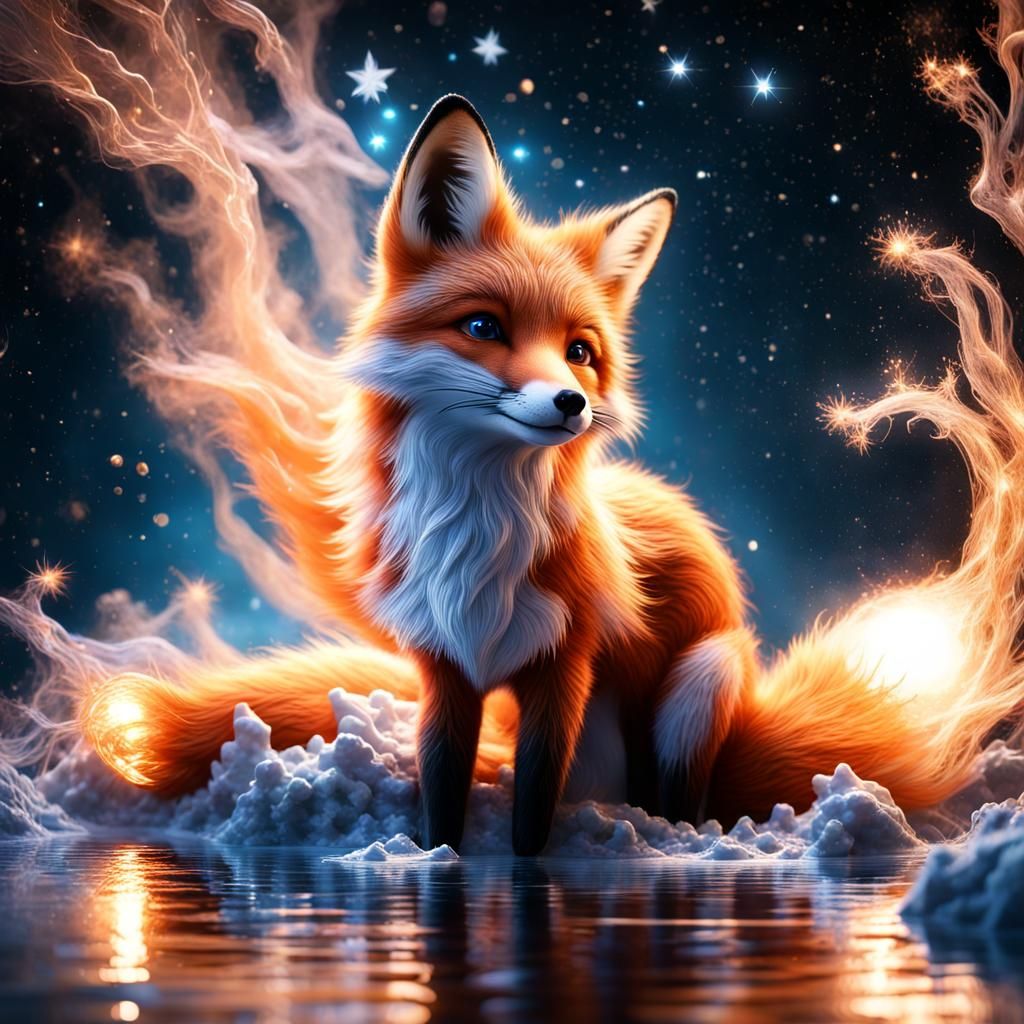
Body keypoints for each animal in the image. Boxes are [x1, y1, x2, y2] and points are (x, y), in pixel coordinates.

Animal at [80, 95, 1015, 855]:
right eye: (483, 326)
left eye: (580, 351)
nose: (571, 404)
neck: (477, 538)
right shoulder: (447, 669)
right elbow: (444, 790)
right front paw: (437, 860)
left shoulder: (563, 668)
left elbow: (532, 807)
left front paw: (530, 874)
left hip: (698, 684)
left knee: (680, 801)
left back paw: (664, 837)